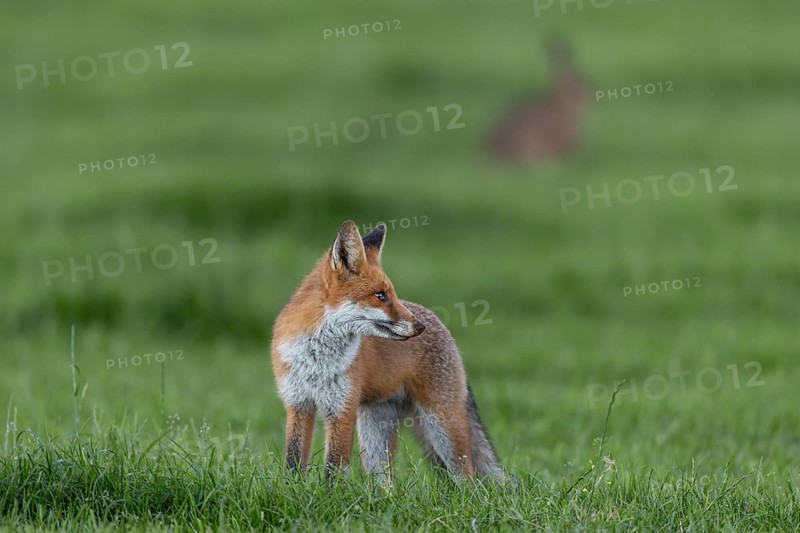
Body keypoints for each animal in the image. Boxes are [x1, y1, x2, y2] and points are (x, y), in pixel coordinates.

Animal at [271, 220, 504, 482]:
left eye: (391, 294)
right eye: (380, 295)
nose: (419, 327)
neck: (316, 359)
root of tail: (435, 319)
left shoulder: (342, 407)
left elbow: (334, 467)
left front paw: (328, 492)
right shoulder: (297, 403)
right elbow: (293, 459)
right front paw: (293, 487)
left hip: (441, 426)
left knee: (468, 477)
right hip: (375, 433)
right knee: (386, 482)